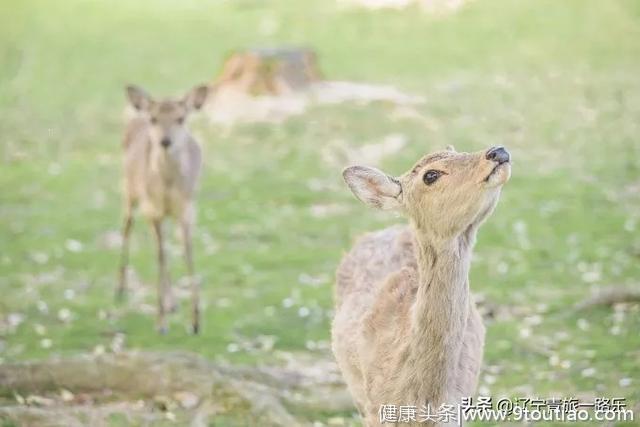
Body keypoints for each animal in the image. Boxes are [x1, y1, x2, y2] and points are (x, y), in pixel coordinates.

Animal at [116, 83, 209, 336]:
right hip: (130, 190)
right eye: (154, 119)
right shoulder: (152, 209)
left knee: (162, 244)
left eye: (181, 118)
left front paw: (195, 321)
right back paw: (120, 289)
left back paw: (172, 303)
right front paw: (160, 323)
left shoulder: (187, 209)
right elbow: (160, 255)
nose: (165, 142)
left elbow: (187, 252)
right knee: (128, 228)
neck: (166, 187)